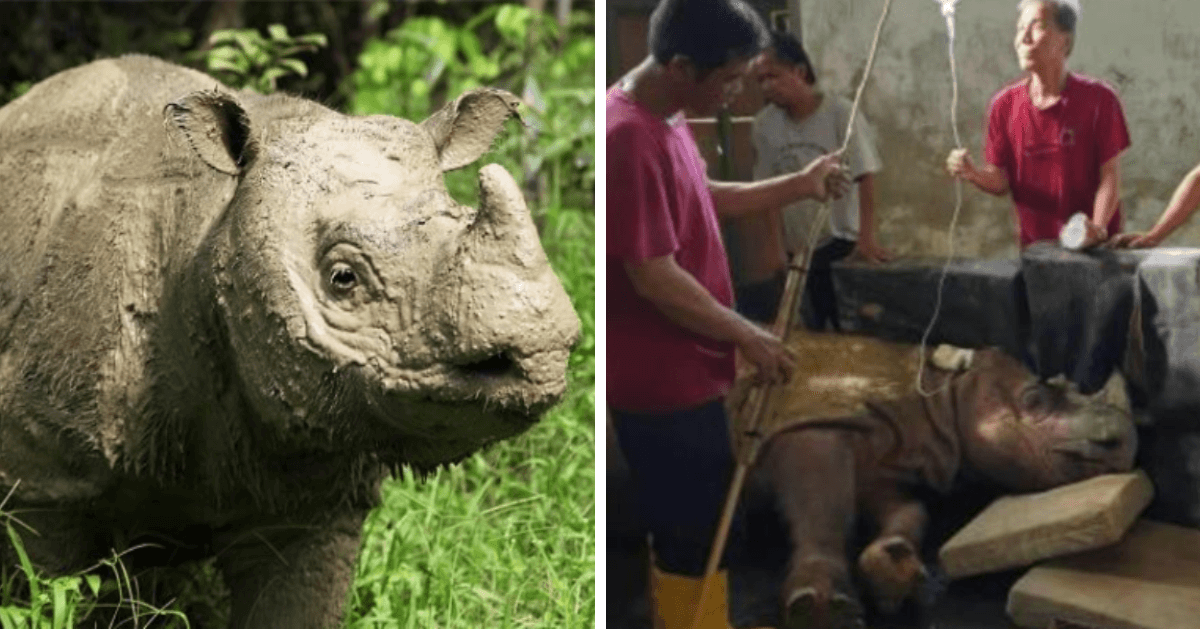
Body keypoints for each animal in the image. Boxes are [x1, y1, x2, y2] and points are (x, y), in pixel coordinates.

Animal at [747, 347, 1136, 629]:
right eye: (1034, 400)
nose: (1126, 444)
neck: (940, 400)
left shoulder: (881, 465)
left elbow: (908, 509)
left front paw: (893, 565)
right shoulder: (809, 419)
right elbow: (821, 506)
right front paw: (823, 607)